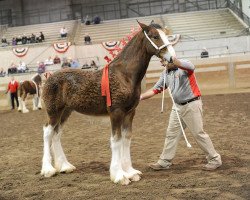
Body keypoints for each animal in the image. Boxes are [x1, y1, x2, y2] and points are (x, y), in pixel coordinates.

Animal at [41, 21, 177, 184]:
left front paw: (130, 172)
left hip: (66, 112)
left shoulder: (130, 113)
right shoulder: (116, 113)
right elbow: (116, 140)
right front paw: (119, 175)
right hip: (53, 112)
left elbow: (126, 139)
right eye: (155, 36)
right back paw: (48, 169)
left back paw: (64, 166)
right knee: (48, 132)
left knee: (56, 134)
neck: (124, 75)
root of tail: (49, 77)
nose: (172, 57)